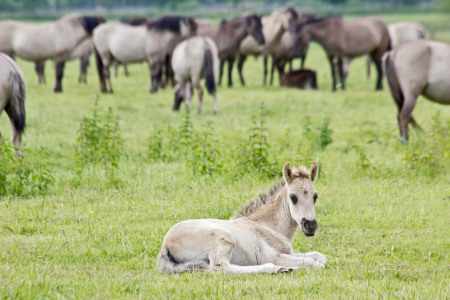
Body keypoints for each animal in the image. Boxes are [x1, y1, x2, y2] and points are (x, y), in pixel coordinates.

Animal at [158, 162, 326, 274]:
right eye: (293, 197)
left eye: (315, 196)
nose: (310, 226)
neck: (268, 226)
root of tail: (165, 244)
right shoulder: (274, 256)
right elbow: (313, 262)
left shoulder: (289, 253)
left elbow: (319, 256)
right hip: (225, 238)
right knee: (222, 267)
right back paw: (278, 268)